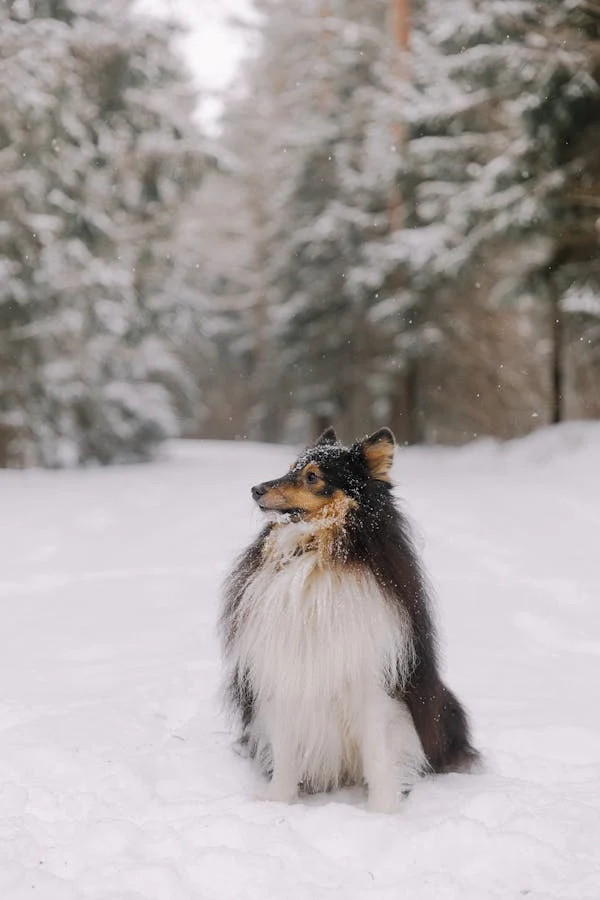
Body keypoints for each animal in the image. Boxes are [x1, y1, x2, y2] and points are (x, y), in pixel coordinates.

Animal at [219, 426, 478, 812]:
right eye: (289, 468)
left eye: (312, 477)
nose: (255, 489)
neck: (317, 553)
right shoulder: (283, 675)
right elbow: (285, 753)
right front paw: (277, 803)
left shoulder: (373, 682)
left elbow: (379, 756)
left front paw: (383, 812)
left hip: (442, 703)